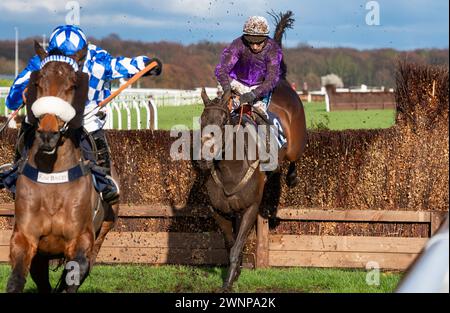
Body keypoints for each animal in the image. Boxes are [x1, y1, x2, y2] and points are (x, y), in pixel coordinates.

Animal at [7, 41, 119, 292]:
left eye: (73, 85)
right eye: (38, 83)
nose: (48, 134)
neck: (53, 179)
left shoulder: (82, 238)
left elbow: (73, 275)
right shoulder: (25, 238)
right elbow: (16, 279)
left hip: (106, 226)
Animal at [199, 11, 308, 290]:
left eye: (223, 121)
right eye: (202, 121)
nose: (204, 159)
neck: (229, 171)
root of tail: (283, 82)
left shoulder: (250, 208)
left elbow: (238, 246)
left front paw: (229, 281)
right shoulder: (220, 211)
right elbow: (230, 245)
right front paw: (234, 272)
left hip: (295, 144)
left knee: (293, 160)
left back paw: (291, 178)